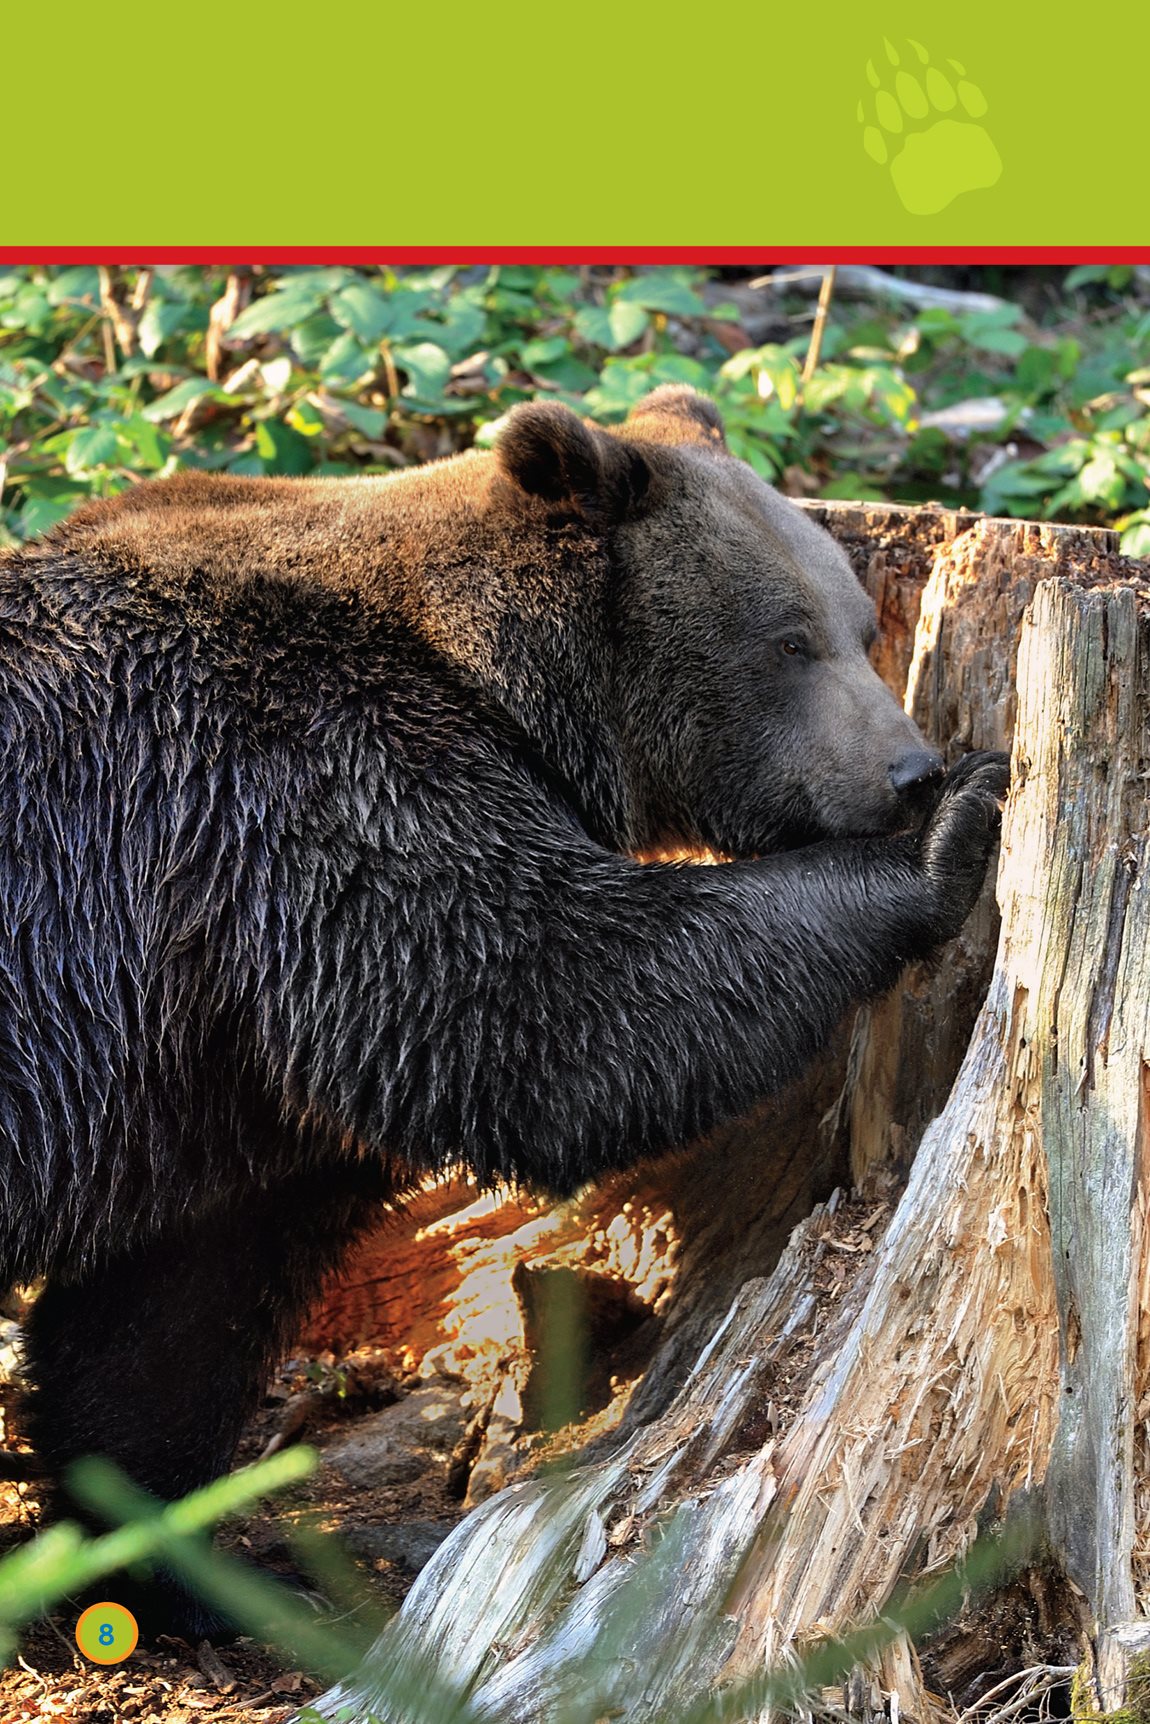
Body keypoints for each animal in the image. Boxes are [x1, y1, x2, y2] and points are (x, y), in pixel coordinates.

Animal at [0, 387, 1006, 1627]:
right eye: (788, 639)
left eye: (862, 626)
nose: (908, 771)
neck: (497, 683)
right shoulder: (315, 788)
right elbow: (554, 1007)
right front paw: (949, 834)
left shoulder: (229, 1035)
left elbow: (177, 1301)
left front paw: (162, 1544)